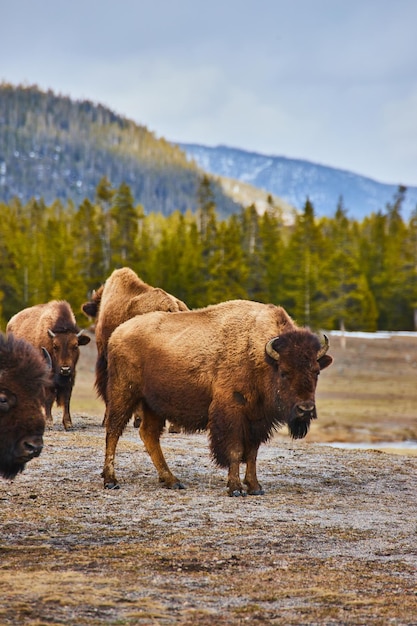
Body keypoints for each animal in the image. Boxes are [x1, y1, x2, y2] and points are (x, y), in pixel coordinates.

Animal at [6, 298, 90, 428]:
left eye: (75, 345)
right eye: (55, 346)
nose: (65, 369)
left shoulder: (71, 378)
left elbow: (67, 399)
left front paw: (68, 423)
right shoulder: (47, 377)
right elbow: (49, 397)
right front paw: (49, 421)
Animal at [102, 298, 334, 492]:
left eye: (316, 371)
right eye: (284, 372)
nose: (305, 409)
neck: (259, 355)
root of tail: (118, 333)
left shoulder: (257, 419)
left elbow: (252, 453)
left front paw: (255, 487)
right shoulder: (231, 413)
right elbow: (235, 450)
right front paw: (236, 488)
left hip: (153, 404)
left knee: (149, 435)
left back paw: (172, 480)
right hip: (124, 393)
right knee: (113, 431)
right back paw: (111, 481)